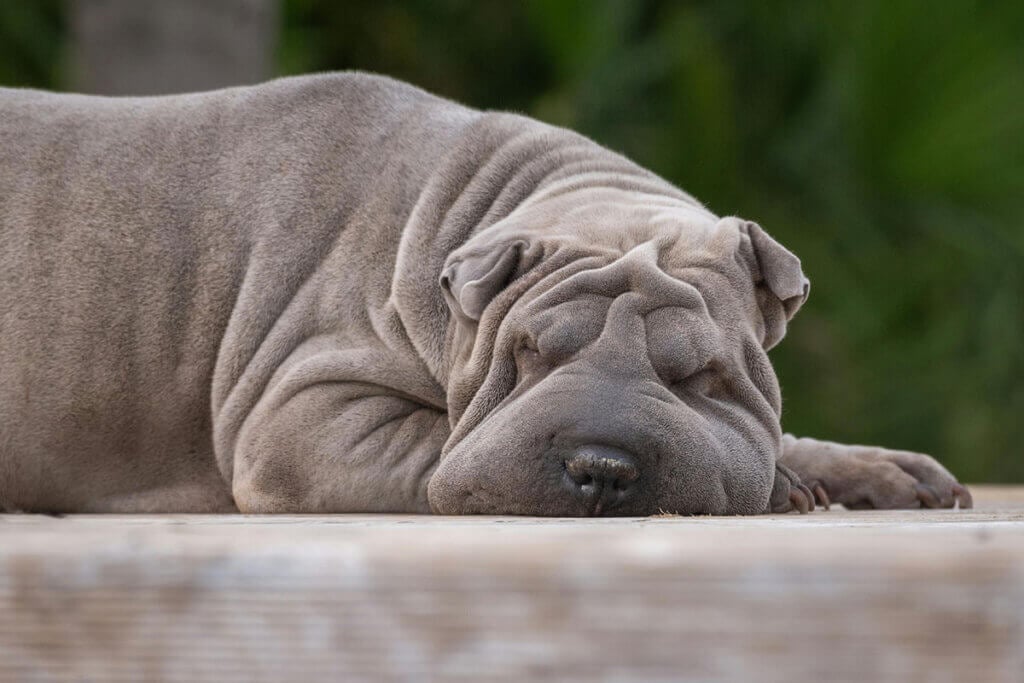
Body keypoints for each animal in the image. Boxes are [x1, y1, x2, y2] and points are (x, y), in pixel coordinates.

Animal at [0, 72, 970, 516]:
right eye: (529, 355)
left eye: (700, 377)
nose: (603, 468)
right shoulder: (300, 411)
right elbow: (441, 444)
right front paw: (783, 488)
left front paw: (868, 469)